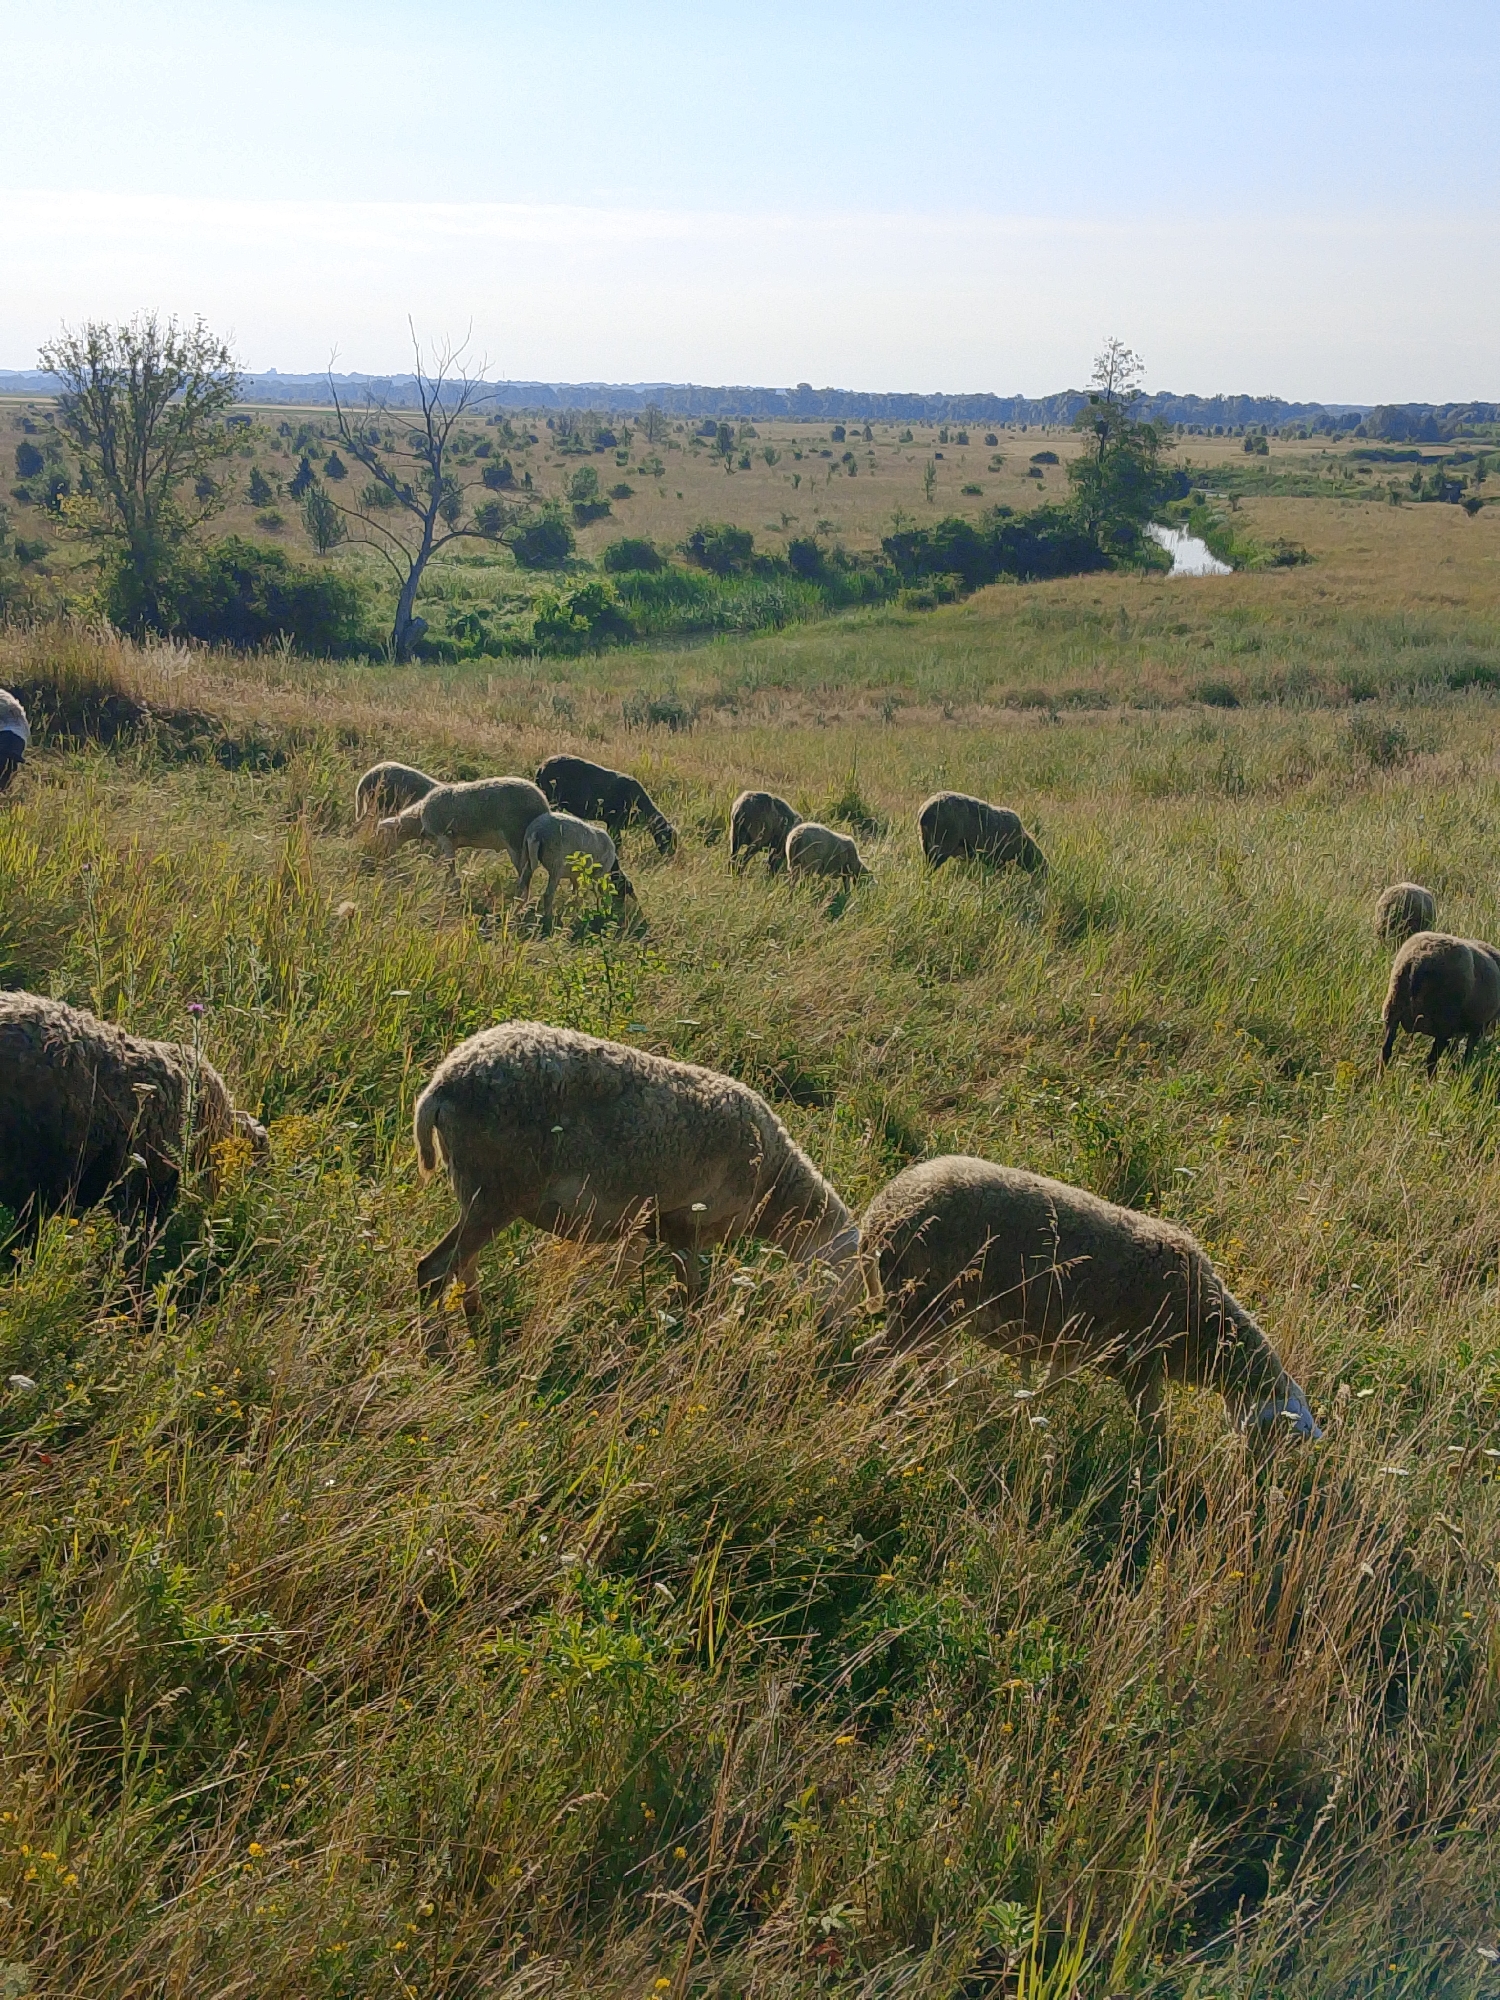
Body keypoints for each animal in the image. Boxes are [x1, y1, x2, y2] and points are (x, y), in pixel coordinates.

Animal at [375, 776, 549, 879]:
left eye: (385, 835)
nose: (383, 855)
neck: (419, 819)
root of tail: (543, 804)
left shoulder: (444, 837)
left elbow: (450, 867)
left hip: (516, 839)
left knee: (525, 873)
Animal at [412, 1021, 857, 1319]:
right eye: (847, 1274)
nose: (833, 1334)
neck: (773, 1183)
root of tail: (441, 1085)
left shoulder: (642, 1227)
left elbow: (622, 1276)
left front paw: (601, 1311)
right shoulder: (685, 1225)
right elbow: (692, 1295)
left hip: (480, 1190)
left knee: (462, 1264)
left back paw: (477, 1318)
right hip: (497, 1189)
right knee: (433, 1269)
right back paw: (440, 1349)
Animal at [535, 755, 678, 854]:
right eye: (669, 839)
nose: (671, 855)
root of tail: (542, 767)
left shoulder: (612, 823)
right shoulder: (615, 822)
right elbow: (616, 842)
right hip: (553, 798)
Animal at [858, 1155, 1320, 1438]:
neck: (1205, 1330)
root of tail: (881, 1213)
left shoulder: (1076, 1349)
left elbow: (1048, 1388)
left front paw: (1020, 1413)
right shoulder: (1139, 1364)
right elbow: (1153, 1427)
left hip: (930, 1309)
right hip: (924, 1304)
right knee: (871, 1357)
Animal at [1380, 930, 1500, 1076]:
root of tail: (1418, 960)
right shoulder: (1478, 1025)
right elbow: (1467, 1053)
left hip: (1393, 1009)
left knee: (1385, 1051)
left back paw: (1379, 1080)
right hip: (1443, 1022)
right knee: (1432, 1060)